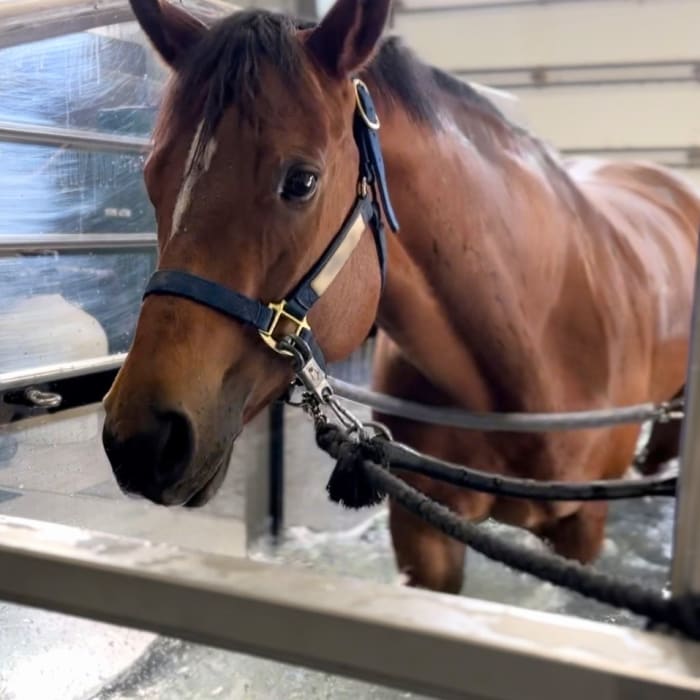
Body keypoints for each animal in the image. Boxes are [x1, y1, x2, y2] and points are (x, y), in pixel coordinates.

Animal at [102, 0, 700, 596]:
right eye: (151, 177)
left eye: (301, 181)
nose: (143, 439)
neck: (533, 345)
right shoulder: (423, 532)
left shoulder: (581, 529)